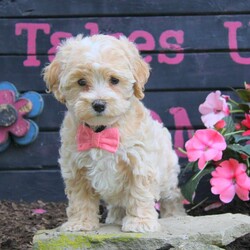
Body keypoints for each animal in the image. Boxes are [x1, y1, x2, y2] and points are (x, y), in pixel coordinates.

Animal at [43, 34, 185, 233]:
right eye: (81, 82)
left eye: (114, 80)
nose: (99, 104)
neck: (101, 131)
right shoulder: (75, 168)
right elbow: (80, 198)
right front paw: (80, 223)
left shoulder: (140, 162)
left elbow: (139, 192)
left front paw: (140, 222)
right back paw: (115, 218)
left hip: (168, 175)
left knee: (173, 195)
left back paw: (176, 215)